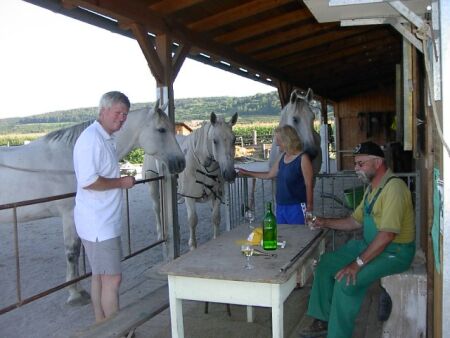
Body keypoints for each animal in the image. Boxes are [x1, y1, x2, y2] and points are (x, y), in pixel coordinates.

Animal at [0, 101, 185, 304]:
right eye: (161, 130)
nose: (181, 163)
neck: (72, 156)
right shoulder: (68, 215)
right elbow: (72, 252)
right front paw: (75, 293)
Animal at [145, 112, 239, 250]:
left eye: (234, 139)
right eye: (215, 141)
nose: (230, 174)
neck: (201, 163)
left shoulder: (217, 194)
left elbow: (216, 217)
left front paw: (216, 238)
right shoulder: (189, 196)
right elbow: (193, 220)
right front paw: (193, 246)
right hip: (153, 182)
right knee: (156, 208)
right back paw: (160, 234)